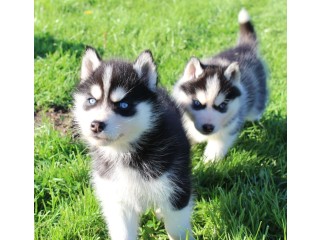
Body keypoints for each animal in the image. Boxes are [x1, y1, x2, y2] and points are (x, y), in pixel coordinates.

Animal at [172, 9, 268, 163]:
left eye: (222, 106)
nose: (208, 127)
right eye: (197, 103)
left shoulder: (228, 130)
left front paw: (208, 163)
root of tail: (243, 48)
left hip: (256, 102)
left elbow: (216, 148)